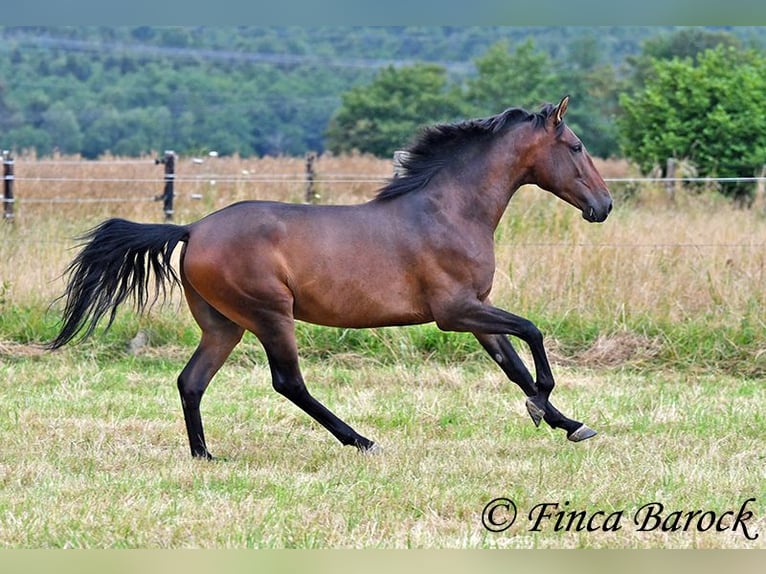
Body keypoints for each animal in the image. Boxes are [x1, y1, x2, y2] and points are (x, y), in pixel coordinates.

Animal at [49, 97, 612, 462]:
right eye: (577, 146)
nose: (603, 207)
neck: (449, 210)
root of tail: (192, 228)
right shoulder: (455, 312)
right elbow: (532, 334)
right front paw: (542, 406)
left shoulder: (475, 311)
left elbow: (513, 364)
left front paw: (567, 423)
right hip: (270, 315)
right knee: (288, 382)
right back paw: (361, 441)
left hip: (224, 326)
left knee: (192, 381)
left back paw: (204, 455)